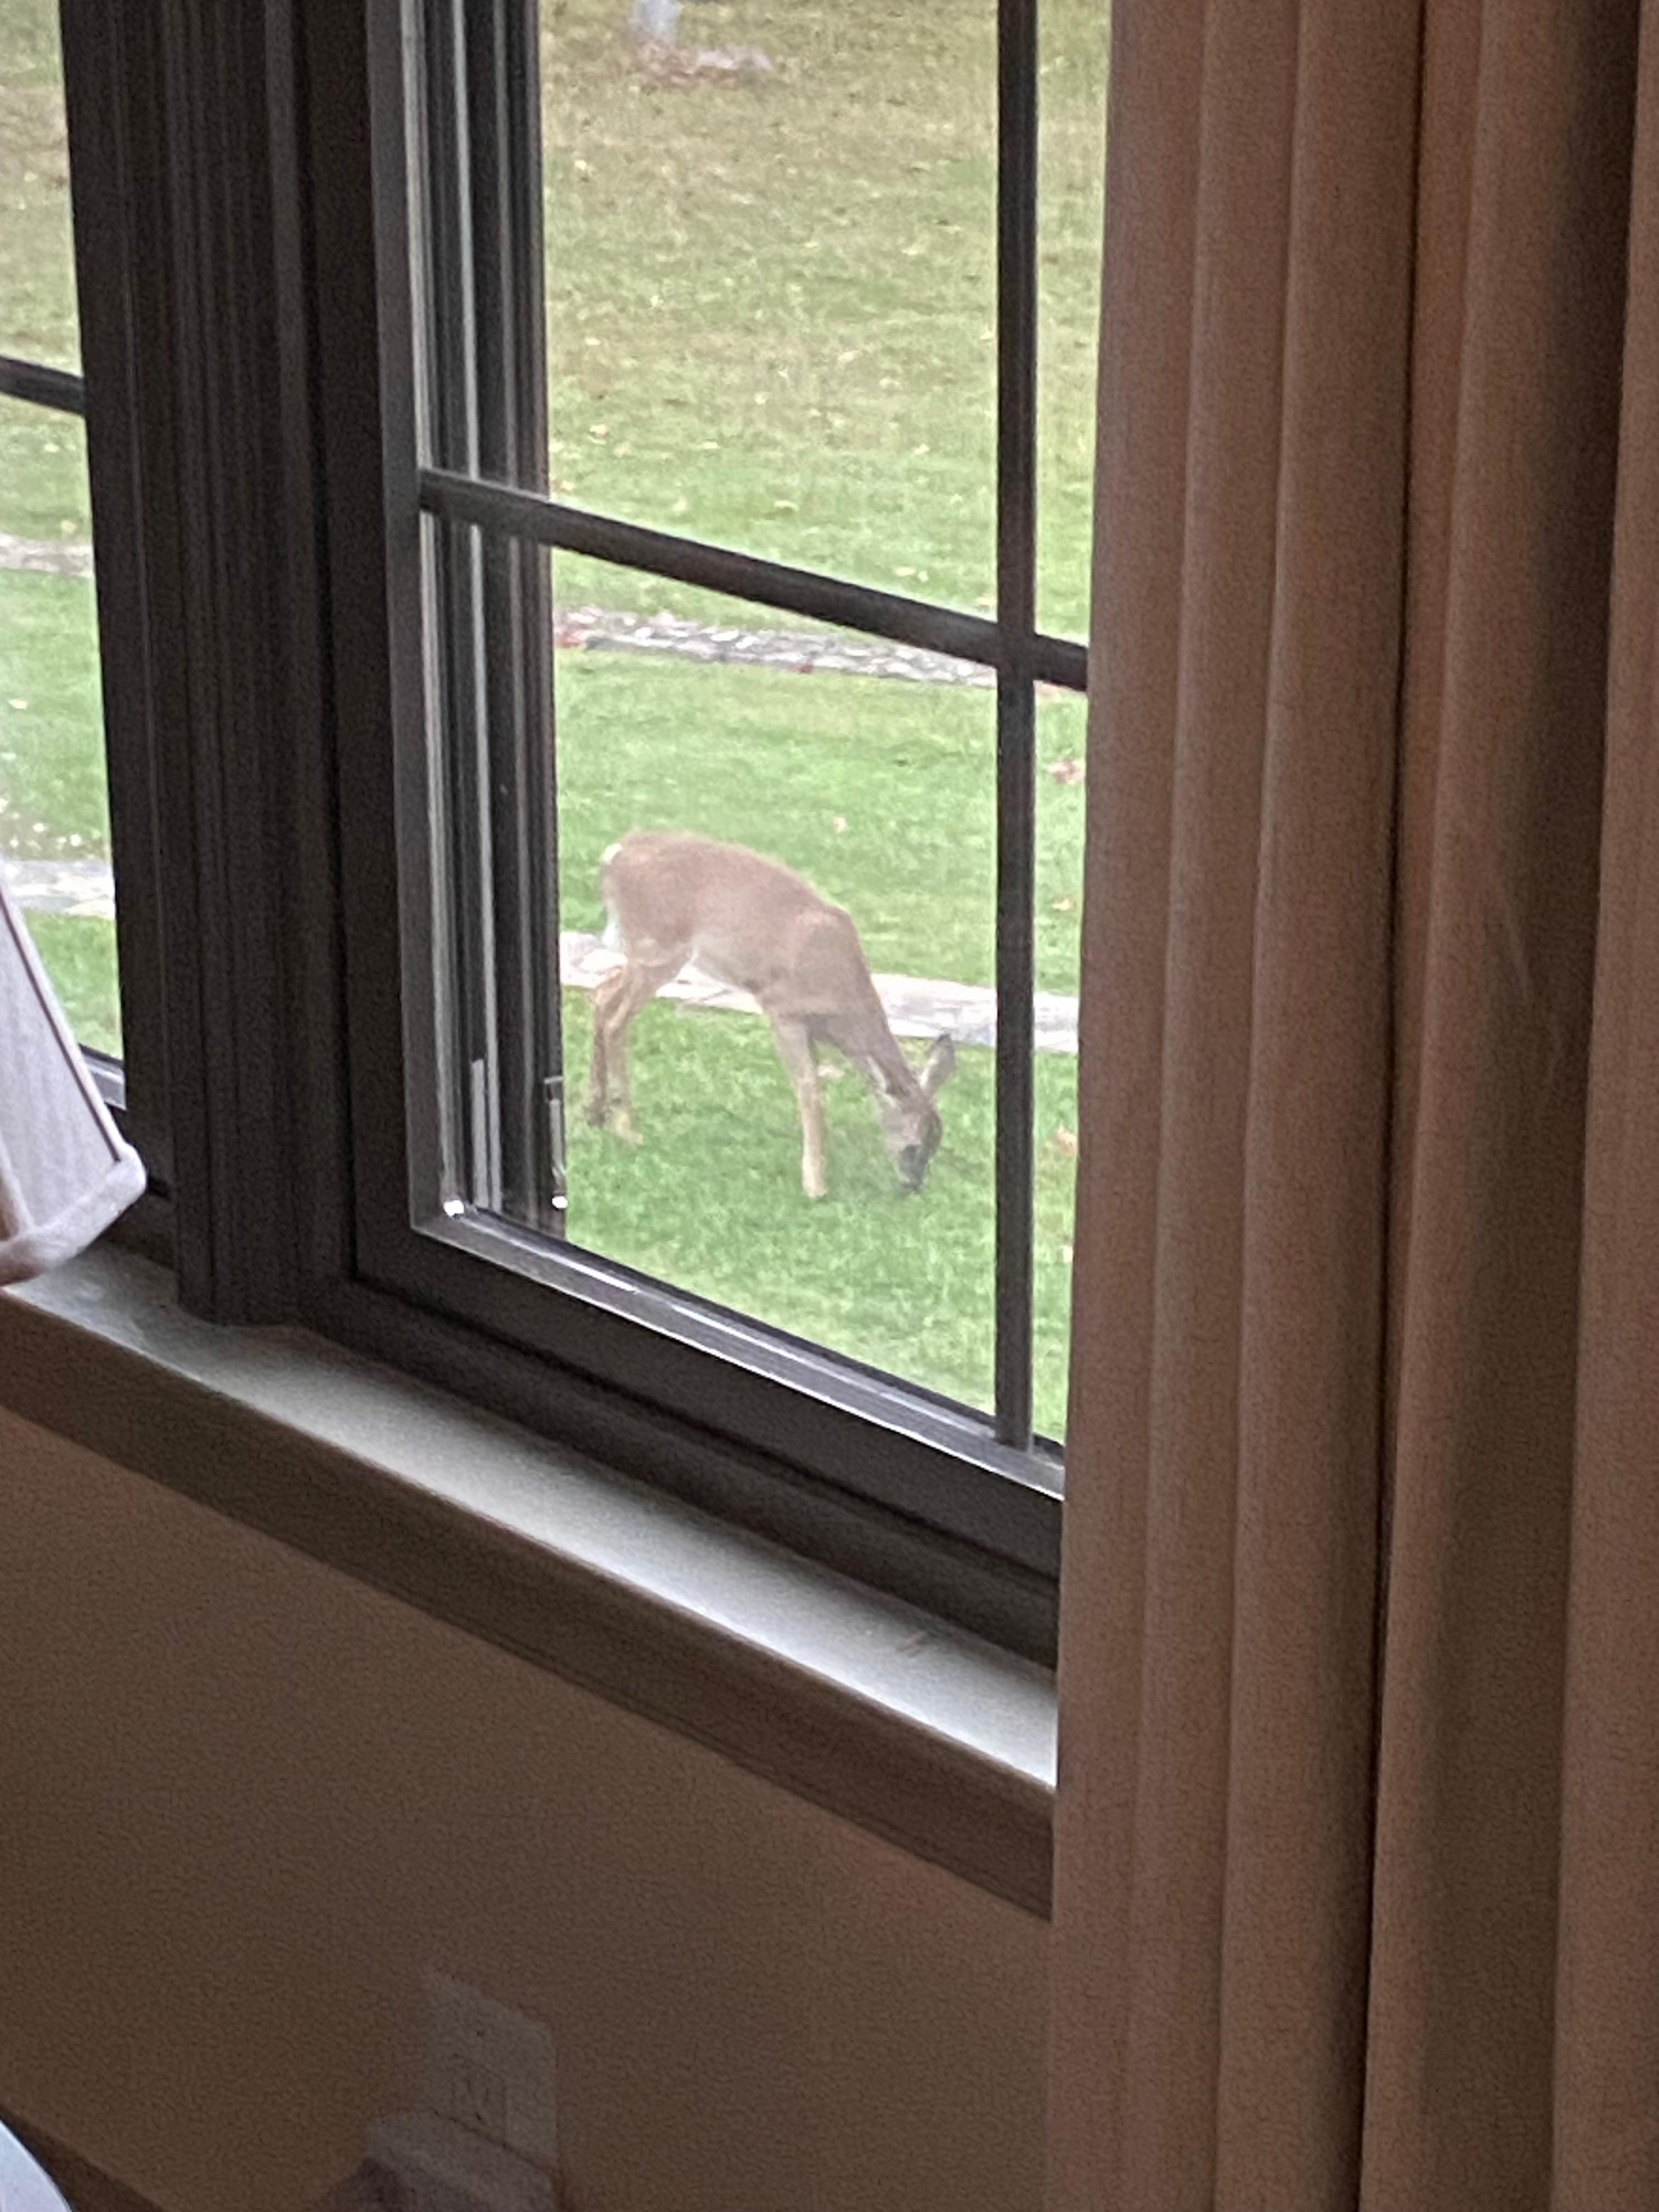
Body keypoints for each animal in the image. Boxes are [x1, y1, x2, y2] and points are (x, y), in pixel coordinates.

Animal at [585, 830, 957, 1200]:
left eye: (936, 1142)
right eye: (915, 1144)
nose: (913, 1185)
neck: (841, 1004)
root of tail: (616, 852)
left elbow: (811, 1083)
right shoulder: (783, 1010)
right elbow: (809, 1089)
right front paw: (815, 1183)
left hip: (644, 954)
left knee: (603, 995)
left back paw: (595, 1112)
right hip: (658, 950)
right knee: (617, 1020)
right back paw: (626, 1129)